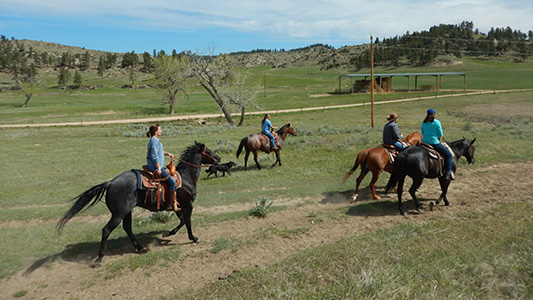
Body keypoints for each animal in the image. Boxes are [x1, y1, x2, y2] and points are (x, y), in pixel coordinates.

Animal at [59, 142, 221, 262]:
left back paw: (140, 248)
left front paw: (167, 233)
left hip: (126, 212)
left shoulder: (178, 206)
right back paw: (100, 258)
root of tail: (110, 183)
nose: (218, 158)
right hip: (119, 213)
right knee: (106, 230)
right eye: (208, 151)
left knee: (127, 228)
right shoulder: (188, 204)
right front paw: (193, 238)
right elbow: (187, 222)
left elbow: (182, 221)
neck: (186, 177)